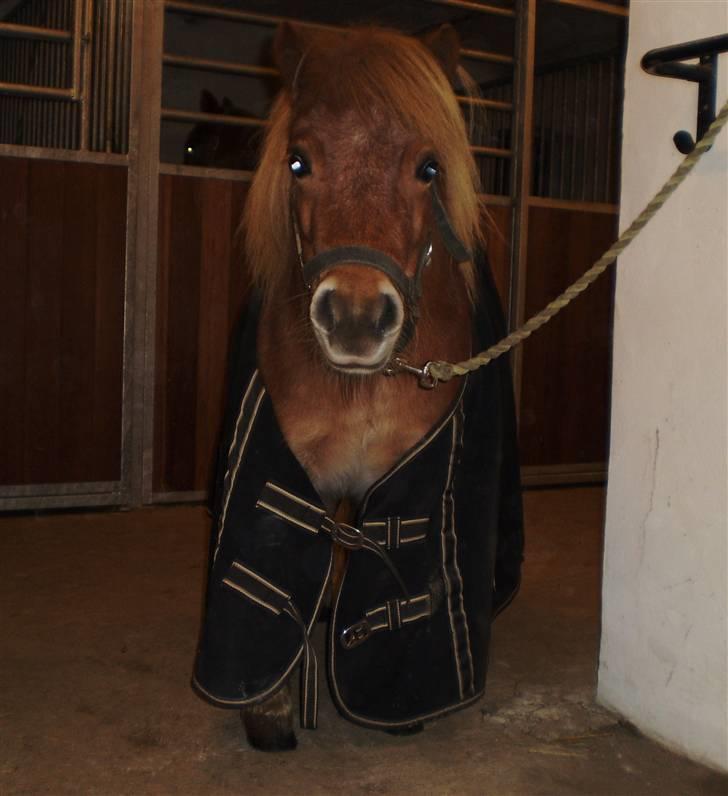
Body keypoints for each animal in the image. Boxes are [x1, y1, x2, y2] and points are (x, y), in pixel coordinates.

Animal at [193, 22, 523, 752]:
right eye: (298, 163)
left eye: (428, 168)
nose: (353, 317)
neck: (359, 388)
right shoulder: (297, 470)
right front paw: (270, 707)